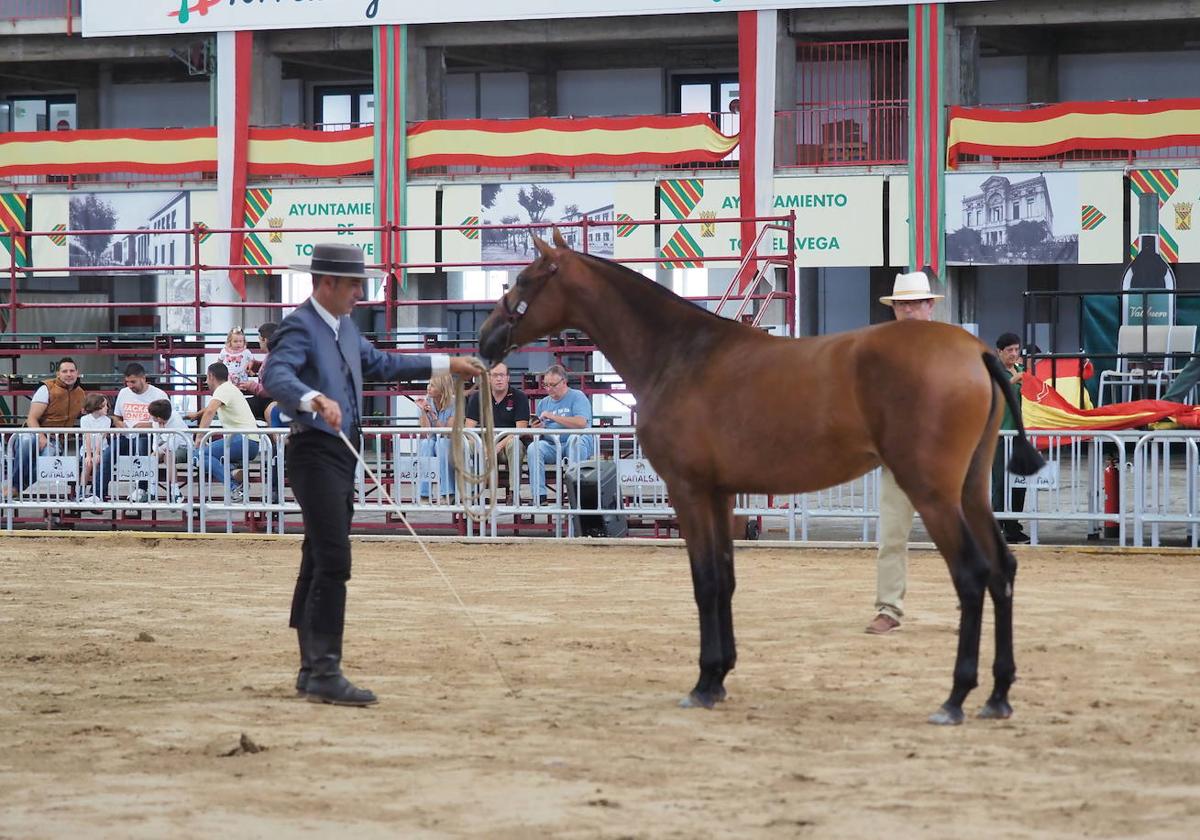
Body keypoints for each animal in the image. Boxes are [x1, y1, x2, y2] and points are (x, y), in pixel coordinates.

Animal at [475, 232, 1041, 724]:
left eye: (523, 280)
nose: (485, 339)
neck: (680, 354)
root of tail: (974, 351)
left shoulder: (689, 492)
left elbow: (705, 580)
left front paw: (703, 684)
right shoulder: (722, 496)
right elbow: (725, 578)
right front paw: (721, 676)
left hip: (934, 493)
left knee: (972, 575)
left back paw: (956, 698)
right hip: (970, 491)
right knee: (1003, 571)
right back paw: (998, 695)